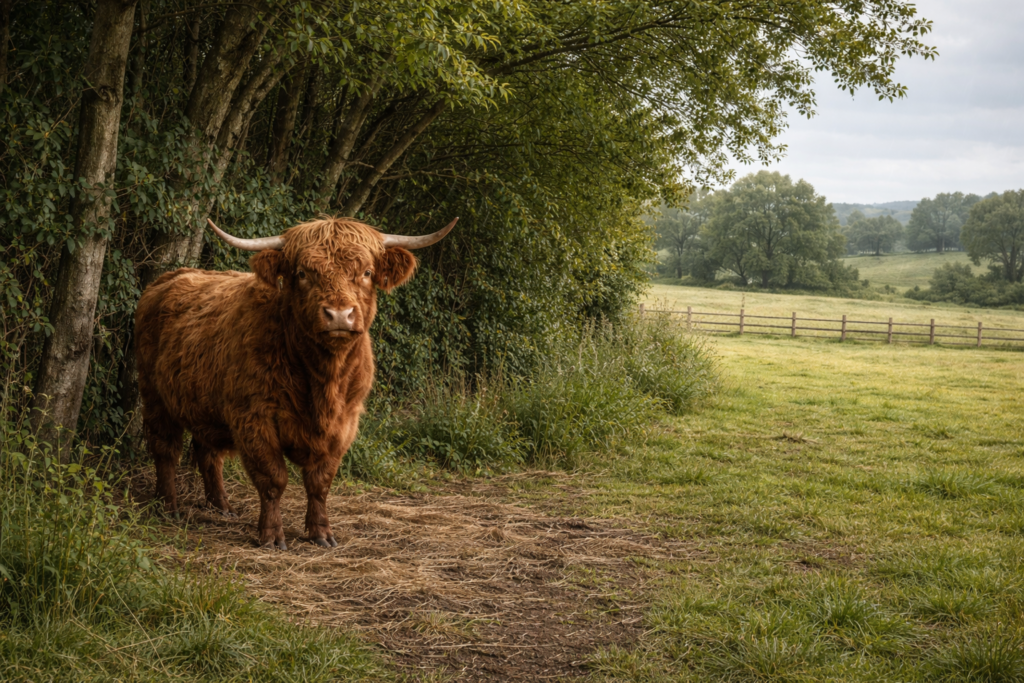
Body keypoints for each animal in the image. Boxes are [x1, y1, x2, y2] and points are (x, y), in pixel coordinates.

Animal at [135, 215, 457, 549]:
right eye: (302, 273)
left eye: (367, 272)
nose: (339, 315)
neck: (322, 382)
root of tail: (172, 277)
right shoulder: (254, 419)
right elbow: (273, 479)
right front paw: (271, 535)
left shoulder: (344, 424)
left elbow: (320, 483)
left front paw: (321, 533)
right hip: (154, 395)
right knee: (166, 450)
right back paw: (168, 506)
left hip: (205, 404)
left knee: (208, 452)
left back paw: (222, 506)